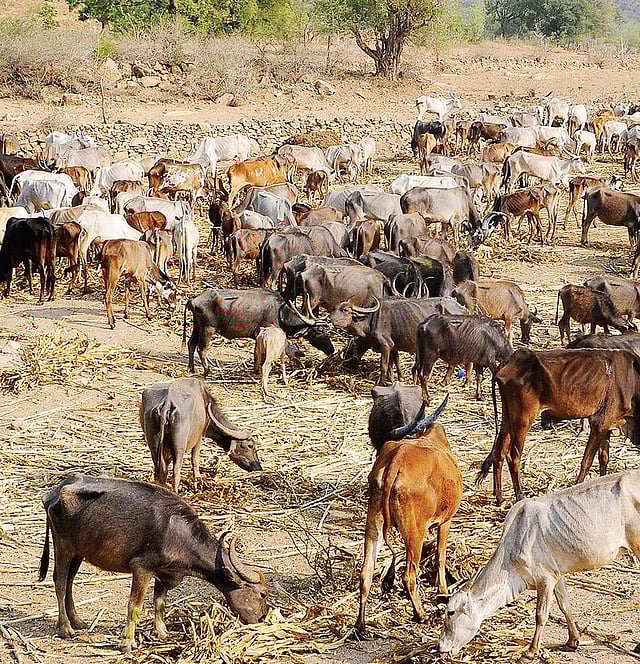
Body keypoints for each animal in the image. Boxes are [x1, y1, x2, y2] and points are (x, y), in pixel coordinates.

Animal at [39, 474, 267, 652]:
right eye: (262, 594)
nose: (262, 618)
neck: (177, 533)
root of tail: (55, 492)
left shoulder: (163, 574)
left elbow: (160, 603)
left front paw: (162, 632)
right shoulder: (142, 568)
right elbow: (135, 606)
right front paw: (127, 643)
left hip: (78, 552)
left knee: (69, 582)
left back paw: (77, 621)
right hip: (63, 546)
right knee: (60, 582)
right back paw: (65, 628)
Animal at [183, 288, 334, 376]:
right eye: (320, 330)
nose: (331, 349)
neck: (281, 314)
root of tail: (193, 300)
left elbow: (256, 352)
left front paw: (255, 369)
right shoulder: (264, 333)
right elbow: (260, 353)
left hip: (197, 326)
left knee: (191, 343)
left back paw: (191, 368)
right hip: (207, 328)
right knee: (201, 349)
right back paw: (207, 370)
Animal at [355, 396, 462, 635]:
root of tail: (395, 461)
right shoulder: (446, 522)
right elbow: (440, 557)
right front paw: (443, 591)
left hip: (374, 525)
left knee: (366, 573)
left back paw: (360, 625)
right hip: (415, 533)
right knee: (408, 576)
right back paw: (420, 614)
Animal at [439, 471, 640, 660]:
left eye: (451, 612)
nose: (440, 646)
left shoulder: (545, 579)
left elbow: (540, 615)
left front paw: (531, 651)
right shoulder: (556, 575)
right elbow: (565, 605)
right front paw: (572, 641)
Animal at [476, 348, 640, 505]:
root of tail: (509, 361)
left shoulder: (608, 426)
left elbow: (603, 459)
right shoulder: (599, 423)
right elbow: (586, 462)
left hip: (508, 418)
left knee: (500, 452)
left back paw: (499, 498)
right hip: (522, 421)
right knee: (513, 457)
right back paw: (519, 496)